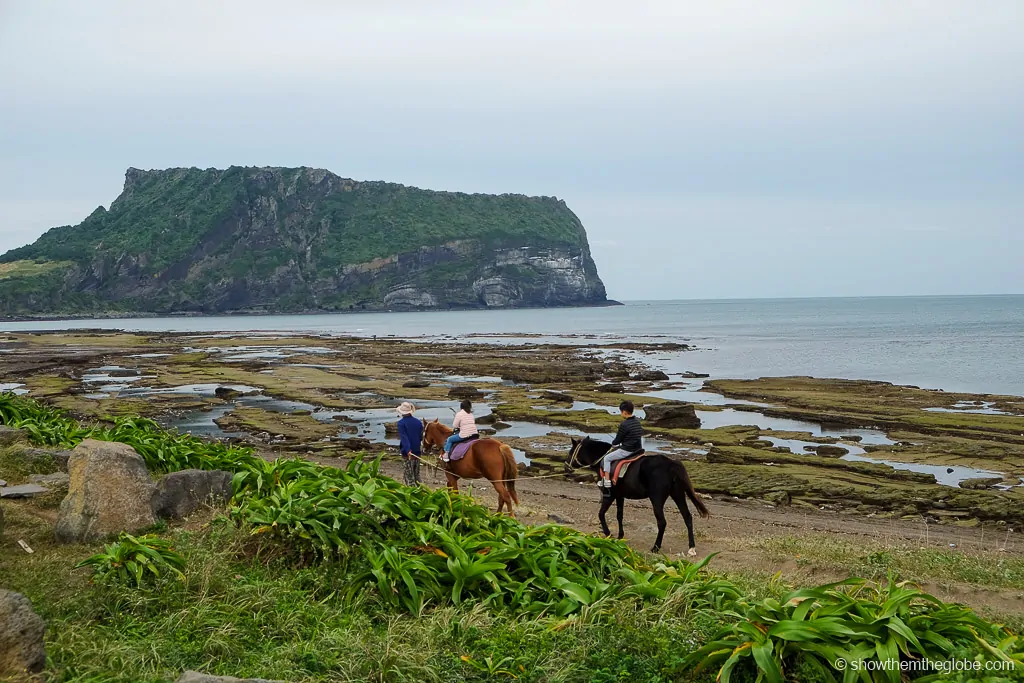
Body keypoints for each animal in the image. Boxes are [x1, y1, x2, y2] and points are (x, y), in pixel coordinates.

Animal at [565, 438, 708, 557]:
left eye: (571, 451)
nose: (566, 467)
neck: (602, 459)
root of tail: (672, 464)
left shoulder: (609, 496)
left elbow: (601, 514)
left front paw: (608, 534)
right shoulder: (620, 496)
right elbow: (619, 515)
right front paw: (620, 536)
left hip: (657, 499)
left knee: (662, 522)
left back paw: (656, 547)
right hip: (678, 495)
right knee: (687, 517)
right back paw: (691, 548)